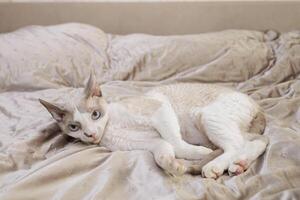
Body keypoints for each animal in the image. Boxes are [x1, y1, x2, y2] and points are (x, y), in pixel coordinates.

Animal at [38, 74, 268, 178]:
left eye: (95, 114)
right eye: (74, 127)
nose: (90, 134)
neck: (111, 129)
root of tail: (255, 103)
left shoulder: (160, 109)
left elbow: (177, 143)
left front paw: (198, 153)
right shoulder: (149, 142)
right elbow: (164, 151)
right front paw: (173, 165)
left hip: (208, 116)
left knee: (236, 145)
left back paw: (215, 165)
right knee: (258, 141)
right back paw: (239, 164)